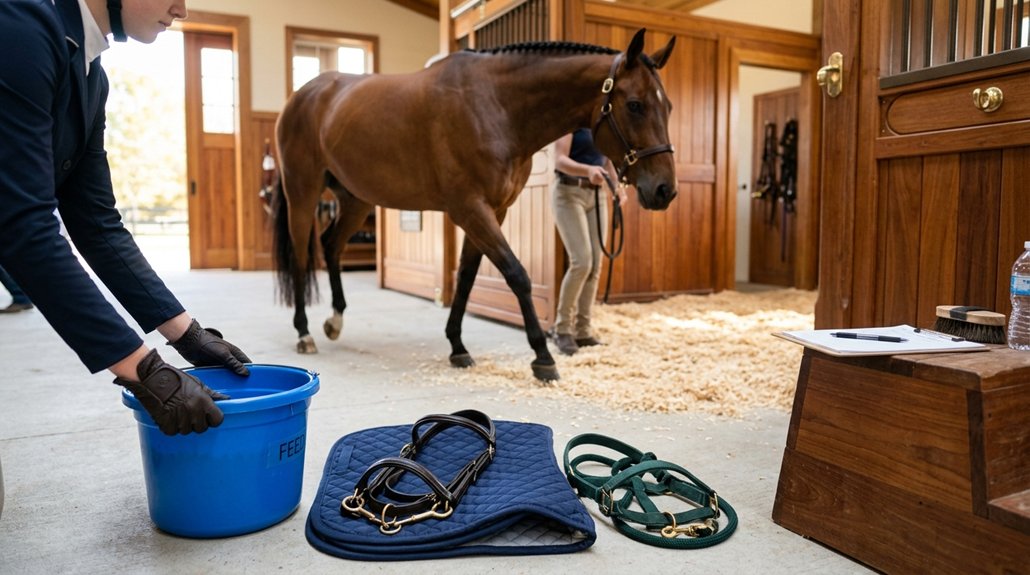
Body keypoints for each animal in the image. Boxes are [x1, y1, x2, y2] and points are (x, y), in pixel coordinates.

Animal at [273, 28, 677, 382]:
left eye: (668, 106)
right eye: (635, 105)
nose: (664, 190)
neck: (496, 106)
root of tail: (301, 96)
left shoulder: (492, 211)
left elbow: (466, 277)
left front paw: (457, 347)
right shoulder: (470, 209)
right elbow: (517, 274)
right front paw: (543, 358)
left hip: (355, 200)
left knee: (330, 246)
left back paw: (334, 321)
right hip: (303, 192)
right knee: (301, 256)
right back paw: (304, 333)